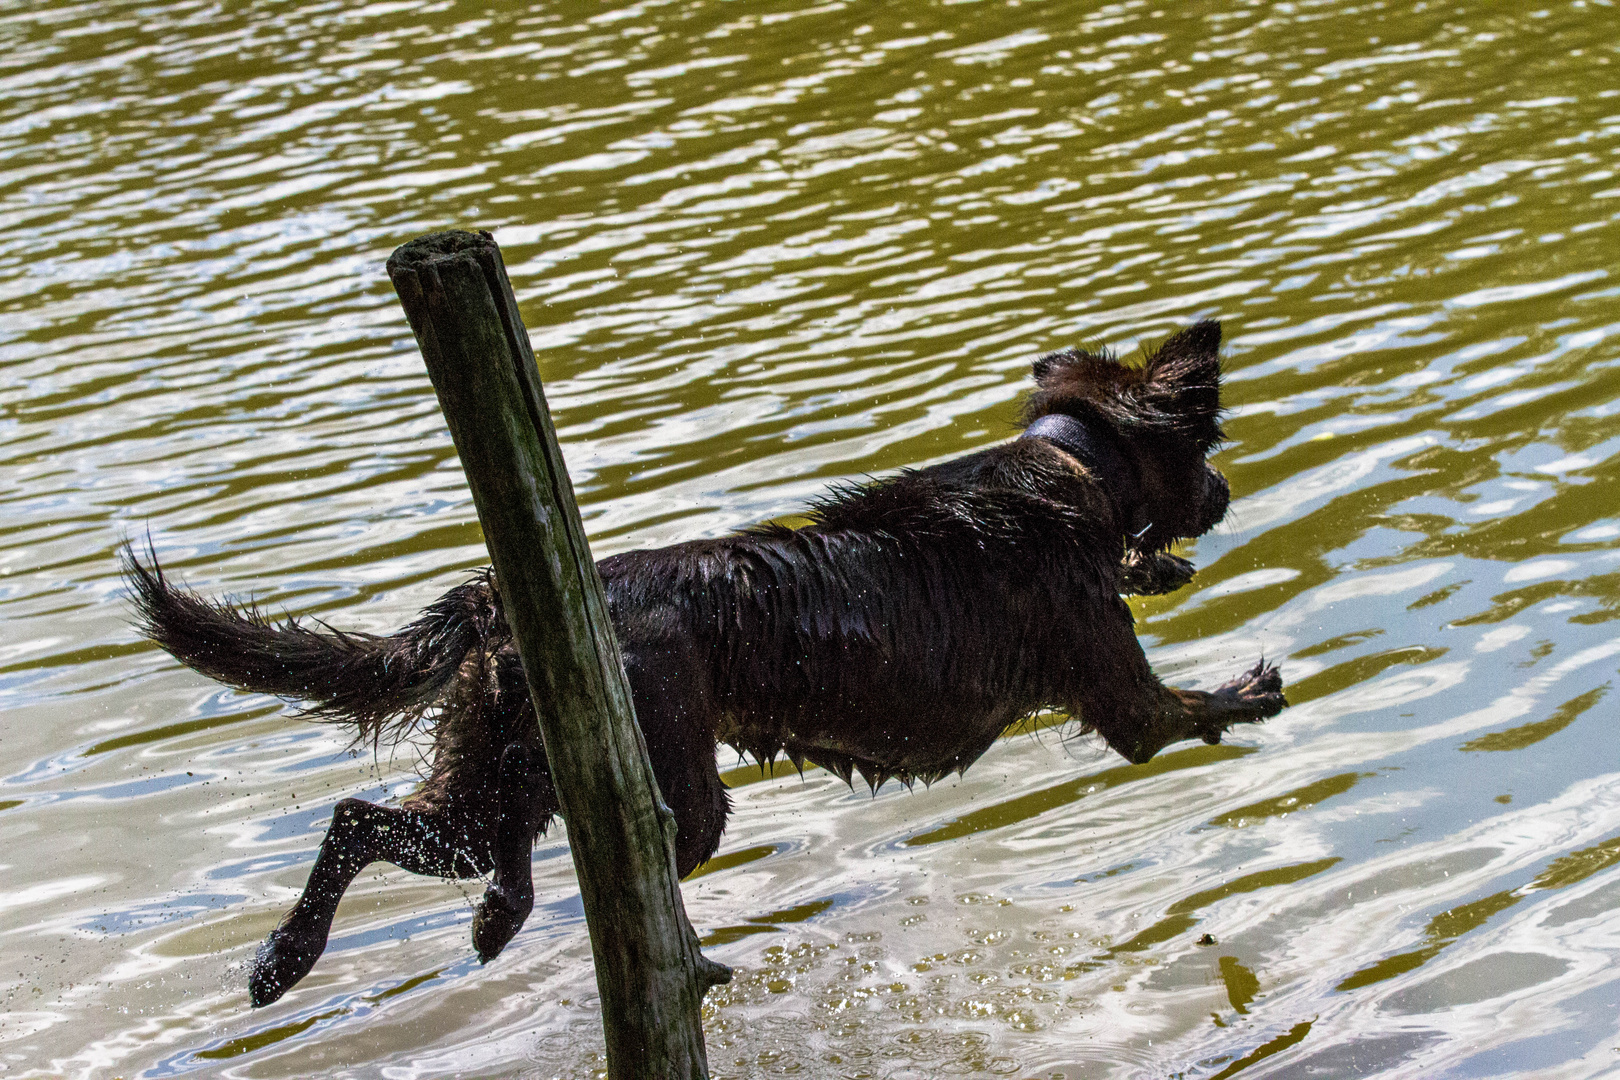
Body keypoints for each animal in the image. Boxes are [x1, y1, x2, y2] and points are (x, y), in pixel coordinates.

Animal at [126, 318, 1283, 1003]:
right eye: (1210, 452)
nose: (1228, 494)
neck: (1071, 468)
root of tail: (501, 598)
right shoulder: (1120, 696)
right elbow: (1184, 712)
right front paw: (1254, 690)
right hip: (665, 786)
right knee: (532, 851)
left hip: (495, 769)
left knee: (380, 823)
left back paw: (299, 957)